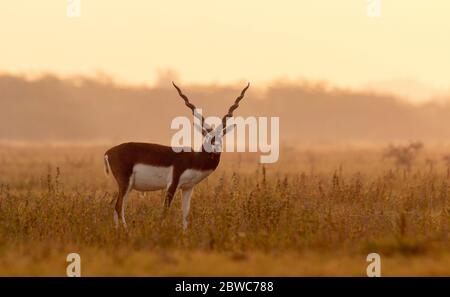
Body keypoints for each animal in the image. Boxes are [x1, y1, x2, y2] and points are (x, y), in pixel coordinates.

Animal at [104, 81, 250, 229]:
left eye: (221, 138)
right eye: (207, 137)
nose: (215, 150)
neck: (194, 159)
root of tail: (109, 152)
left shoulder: (188, 188)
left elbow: (185, 214)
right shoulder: (172, 183)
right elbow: (164, 211)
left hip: (128, 186)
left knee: (118, 208)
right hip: (125, 183)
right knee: (118, 207)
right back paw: (126, 231)